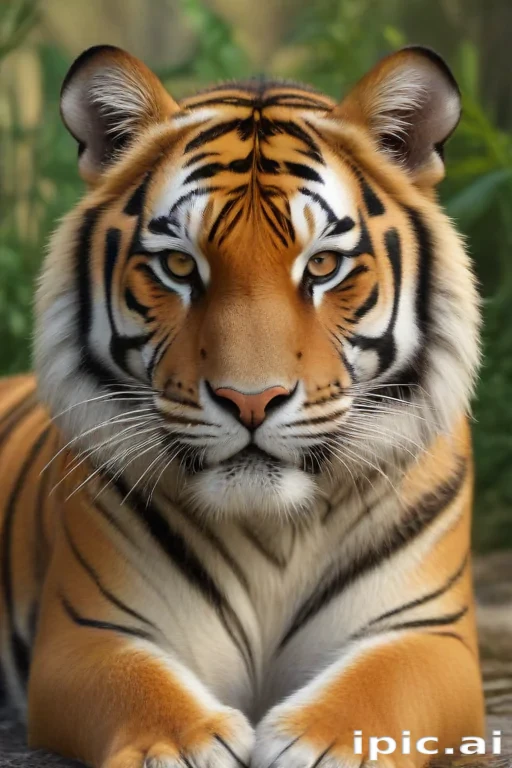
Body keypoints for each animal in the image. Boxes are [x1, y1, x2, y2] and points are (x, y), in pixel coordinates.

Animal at [0, 43, 484, 768]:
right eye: (178, 266)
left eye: (323, 267)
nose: (249, 401)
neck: (273, 532)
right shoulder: (86, 630)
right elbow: (142, 689)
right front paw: (183, 747)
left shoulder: (430, 631)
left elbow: (379, 690)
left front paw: (323, 747)